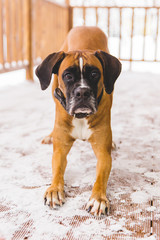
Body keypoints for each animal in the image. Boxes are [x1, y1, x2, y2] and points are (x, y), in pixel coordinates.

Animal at [36, 26, 121, 218]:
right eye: (68, 76)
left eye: (94, 74)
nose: (82, 92)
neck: (81, 117)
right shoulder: (60, 151)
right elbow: (57, 170)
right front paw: (54, 189)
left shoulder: (103, 154)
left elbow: (101, 176)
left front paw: (98, 199)